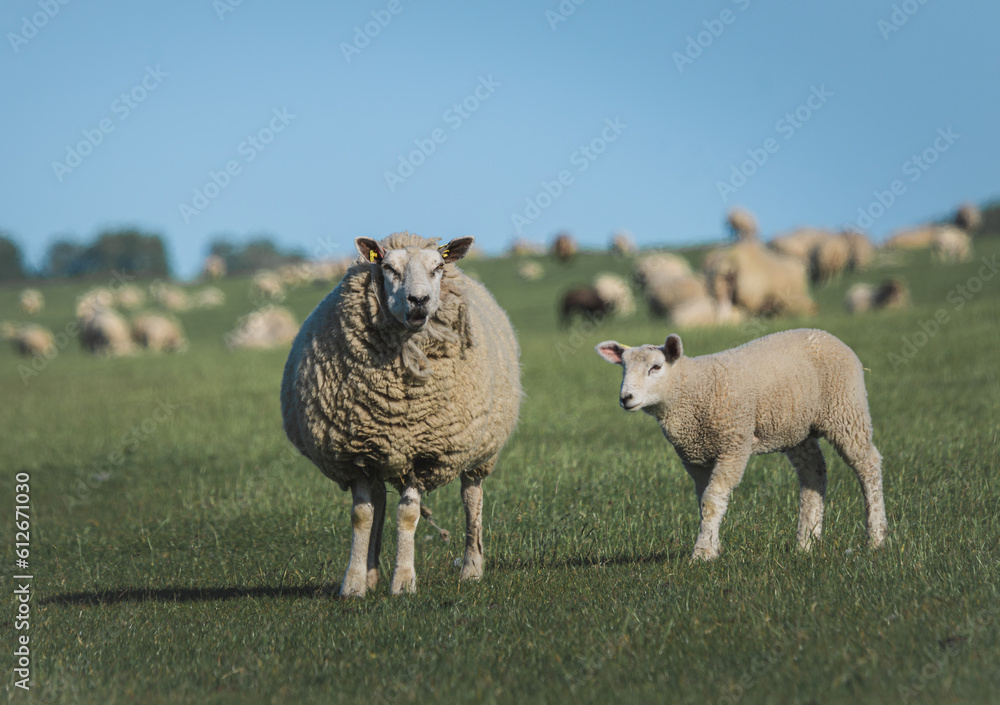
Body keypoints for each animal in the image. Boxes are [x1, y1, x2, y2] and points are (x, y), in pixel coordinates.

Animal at [281, 232, 521, 597]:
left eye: (438, 268)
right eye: (388, 269)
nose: (419, 300)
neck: (396, 399)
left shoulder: (423, 453)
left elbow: (408, 515)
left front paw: (404, 583)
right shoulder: (357, 453)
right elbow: (362, 515)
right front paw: (354, 583)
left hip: (480, 450)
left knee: (471, 497)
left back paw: (471, 567)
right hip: (377, 449)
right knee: (379, 499)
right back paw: (372, 573)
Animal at [595, 329, 888, 560]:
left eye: (655, 367)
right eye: (623, 368)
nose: (626, 398)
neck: (692, 389)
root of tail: (827, 335)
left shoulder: (733, 446)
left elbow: (713, 500)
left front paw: (702, 553)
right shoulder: (694, 458)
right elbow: (703, 503)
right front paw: (713, 546)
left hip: (846, 410)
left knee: (868, 465)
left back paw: (877, 538)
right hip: (796, 428)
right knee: (814, 472)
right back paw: (807, 541)